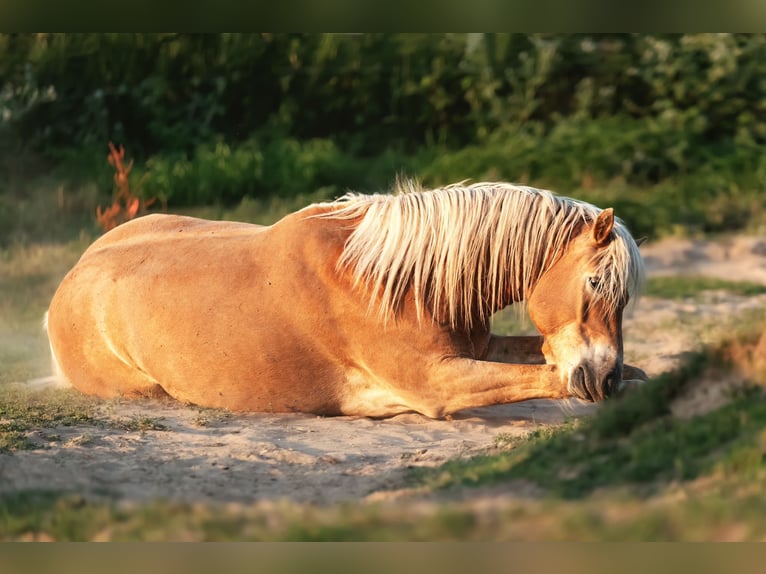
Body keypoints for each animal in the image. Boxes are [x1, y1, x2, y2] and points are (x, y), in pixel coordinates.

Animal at [45, 180, 646, 419]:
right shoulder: (436, 382)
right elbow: (543, 376)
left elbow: (538, 358)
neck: (391, 280)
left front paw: (633, 375)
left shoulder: (478, 347)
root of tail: (67, 283)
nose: (603, 376)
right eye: (596, 284)